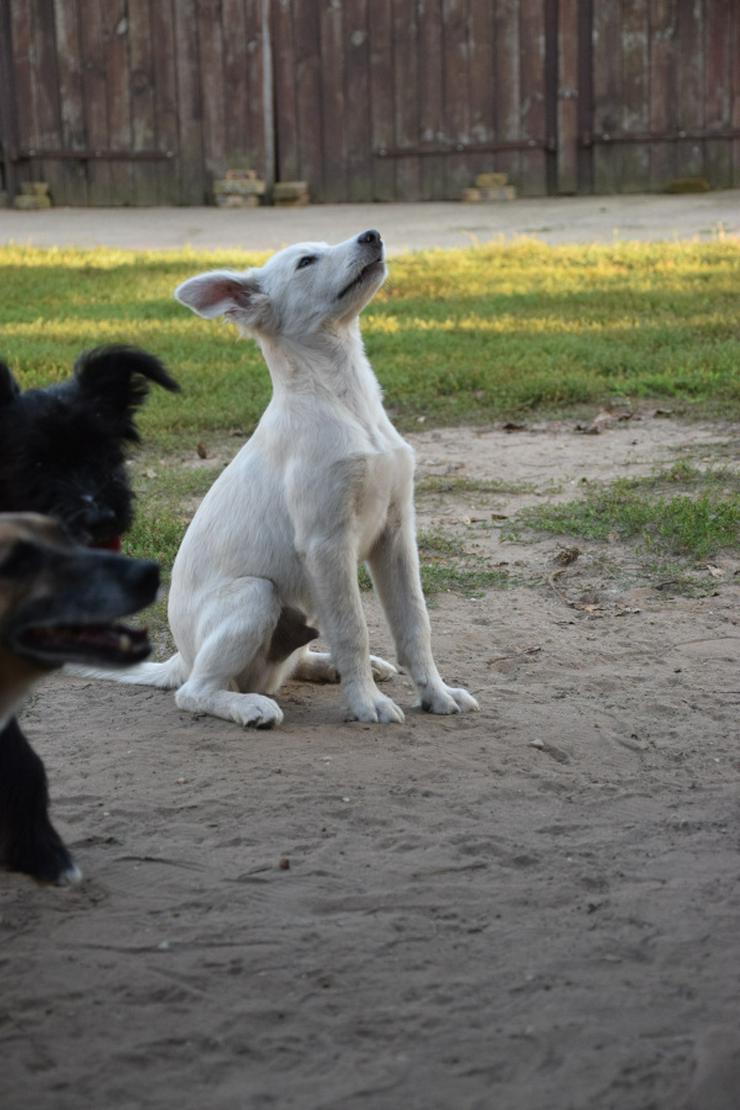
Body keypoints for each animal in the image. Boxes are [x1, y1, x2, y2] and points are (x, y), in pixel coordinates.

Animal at [113, 228, 477, 728]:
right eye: (306, 262)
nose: (372, 235)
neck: (345, 399)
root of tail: (182, 658)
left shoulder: (396, 531)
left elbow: (414, 625)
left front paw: (437, 694)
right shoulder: (326, 542)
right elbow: (353, 629)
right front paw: (367, 703)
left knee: (293, 663)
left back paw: (334, 668)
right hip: (255, 594)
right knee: (195, 692)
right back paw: (251, 707)